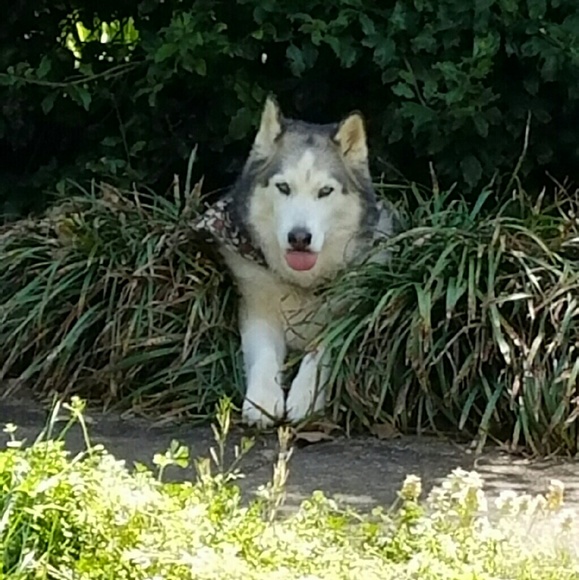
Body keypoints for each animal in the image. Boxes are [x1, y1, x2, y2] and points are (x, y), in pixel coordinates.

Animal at [193, 96, 396, 427]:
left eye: (325, 191)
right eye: (284, 187)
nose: (299, 237)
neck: (302, 283)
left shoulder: (347, 316)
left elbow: (321, 352)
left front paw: (305, 396)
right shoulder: (256, 309)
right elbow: (263, 355)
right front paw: (262, 401)